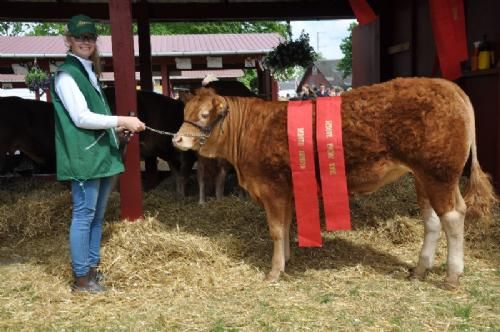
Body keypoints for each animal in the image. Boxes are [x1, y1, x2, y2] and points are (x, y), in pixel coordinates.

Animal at [172, 77, 496, 288]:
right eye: (184, 113)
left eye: (204, 114)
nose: (177, 139)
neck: (252, 130)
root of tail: (449, 86)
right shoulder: (288, 190)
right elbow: (287, 227)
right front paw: (286, 261)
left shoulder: (272, 188)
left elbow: (276, 231)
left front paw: (274, 272)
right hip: (423, 176)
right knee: (432, 221)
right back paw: (419, 270)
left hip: (440, 174)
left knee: (453, 216)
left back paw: (452, 276)